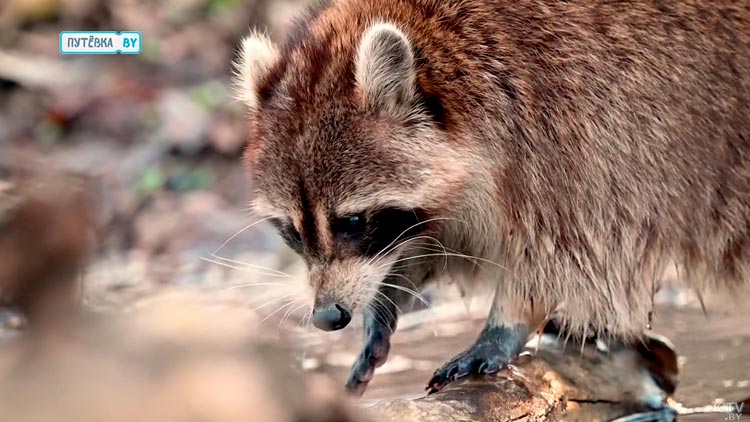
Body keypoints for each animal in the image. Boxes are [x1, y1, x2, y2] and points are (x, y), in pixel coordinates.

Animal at [235, 0, 750, 396]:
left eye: (353, 222)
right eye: (291, 231)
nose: (328, 316)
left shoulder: (583, 130)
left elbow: (571, 249)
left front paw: (507, 322)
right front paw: (386, 296)